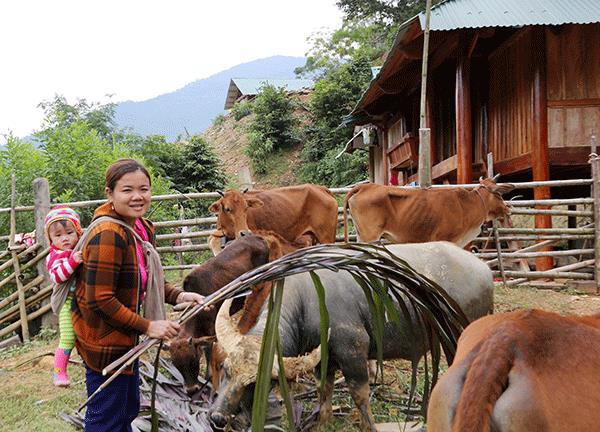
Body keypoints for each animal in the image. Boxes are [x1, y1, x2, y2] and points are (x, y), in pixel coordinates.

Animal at [170, 231, 308, 396]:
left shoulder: (211, 330)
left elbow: (210, 352)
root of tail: (257, 237)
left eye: (192, 360)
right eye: (175, 364)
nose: (191, 390)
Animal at [206, 241, 492, 430]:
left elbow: (360, 394)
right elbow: (324, 389)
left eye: (254, 383)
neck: (307, 301)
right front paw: (323, 421)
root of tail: (483, 268)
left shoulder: (353, 350)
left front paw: (368, 426)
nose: (217, 417)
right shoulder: (323, 358)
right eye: (225, 368)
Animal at [344, 177, 512, 248]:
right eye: (499, 194)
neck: (465, 205)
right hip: (370, 236)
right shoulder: (444, 239)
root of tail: (364, 186)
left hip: (361, 235)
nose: (508, 208)